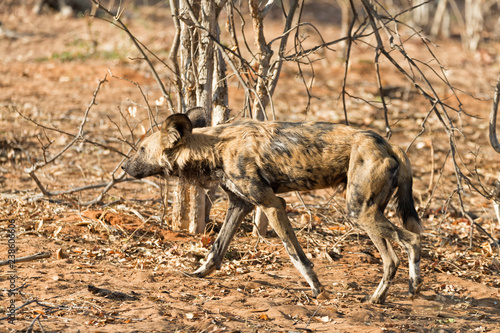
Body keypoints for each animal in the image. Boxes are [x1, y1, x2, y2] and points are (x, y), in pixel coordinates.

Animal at [123, 109, 420, 304]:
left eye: (141, 149)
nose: (124, 166)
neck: (214, 148)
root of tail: (390, 145)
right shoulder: (241, 204)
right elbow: (217, 248)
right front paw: (199, 273)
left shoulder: (272, 204)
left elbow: (296, 255)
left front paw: (317, 289)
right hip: (368, 212)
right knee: (404, 244)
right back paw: (399, 292)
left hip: (360, 212)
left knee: (406, 245)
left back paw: (389, 293)